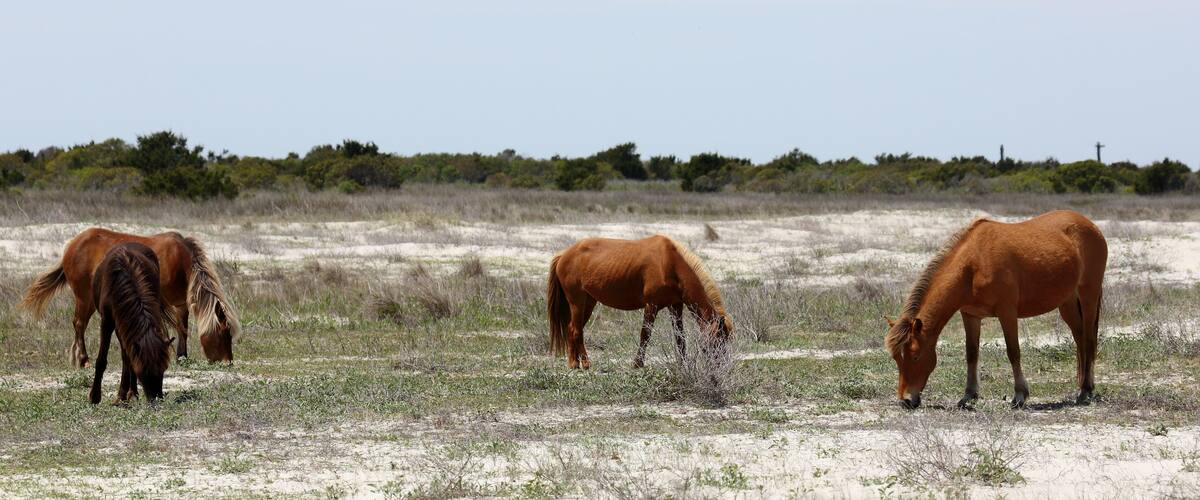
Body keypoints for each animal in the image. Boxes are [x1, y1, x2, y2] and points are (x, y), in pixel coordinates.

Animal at [21, 228, 239, 367]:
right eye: (224, 333)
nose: (228, 362)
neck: (181, 260)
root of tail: (72, 245)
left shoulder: (180, 303)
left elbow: (182, 328)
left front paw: (181, 356)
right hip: (85, 298)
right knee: (79, 324)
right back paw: (84, 360)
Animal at [88, 242, 177, 404]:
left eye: (163, 368)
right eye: (144, 371)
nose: (157, 398)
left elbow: (129, 359)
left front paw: (125, 394)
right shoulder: (107, 321)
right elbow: (102, 359)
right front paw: (95, 397)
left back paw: (131, 393)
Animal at [546, 235, 733, 369]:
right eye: (716, 340)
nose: (721, 366)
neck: (669, 263)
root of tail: (563, 255)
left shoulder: (675, 306)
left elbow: (680, 337)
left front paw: (683, 363)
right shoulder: (652, 305)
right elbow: (645, 334)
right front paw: (637, 363)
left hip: (589, 302)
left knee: (573, 329)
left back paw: (575, 362)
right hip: (576, 301)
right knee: (575, 329)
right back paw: (582, 363)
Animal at [884, 210, 1107, 409]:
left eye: (915, 356)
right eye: (896, 358)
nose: (905, 400)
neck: (973, 266)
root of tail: (1090, 225)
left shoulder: (1007, 312)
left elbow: (1013, 351)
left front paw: (1019, 396)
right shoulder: (970, 315)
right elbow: (971, 353)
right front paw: (969, 395)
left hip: (1088, 296)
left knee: (1089, 340)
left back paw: (1085, 390)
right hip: (1067, 303)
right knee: (1080, 339)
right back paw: (1083, 387)